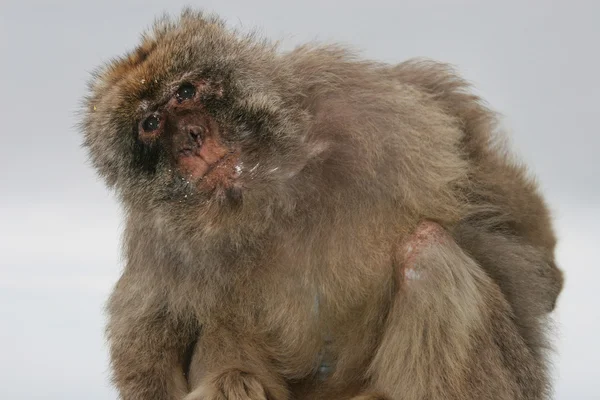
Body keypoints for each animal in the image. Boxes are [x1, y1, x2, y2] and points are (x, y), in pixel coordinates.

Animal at [79, 9, 564, 400]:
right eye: (150, 124)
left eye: (185, 93)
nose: (191, 139)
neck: (265, 195)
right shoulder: (157, 229)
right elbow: (149, 328)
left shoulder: (356, 100)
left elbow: (471, 157)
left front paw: (545, 277)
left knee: (427, 252)